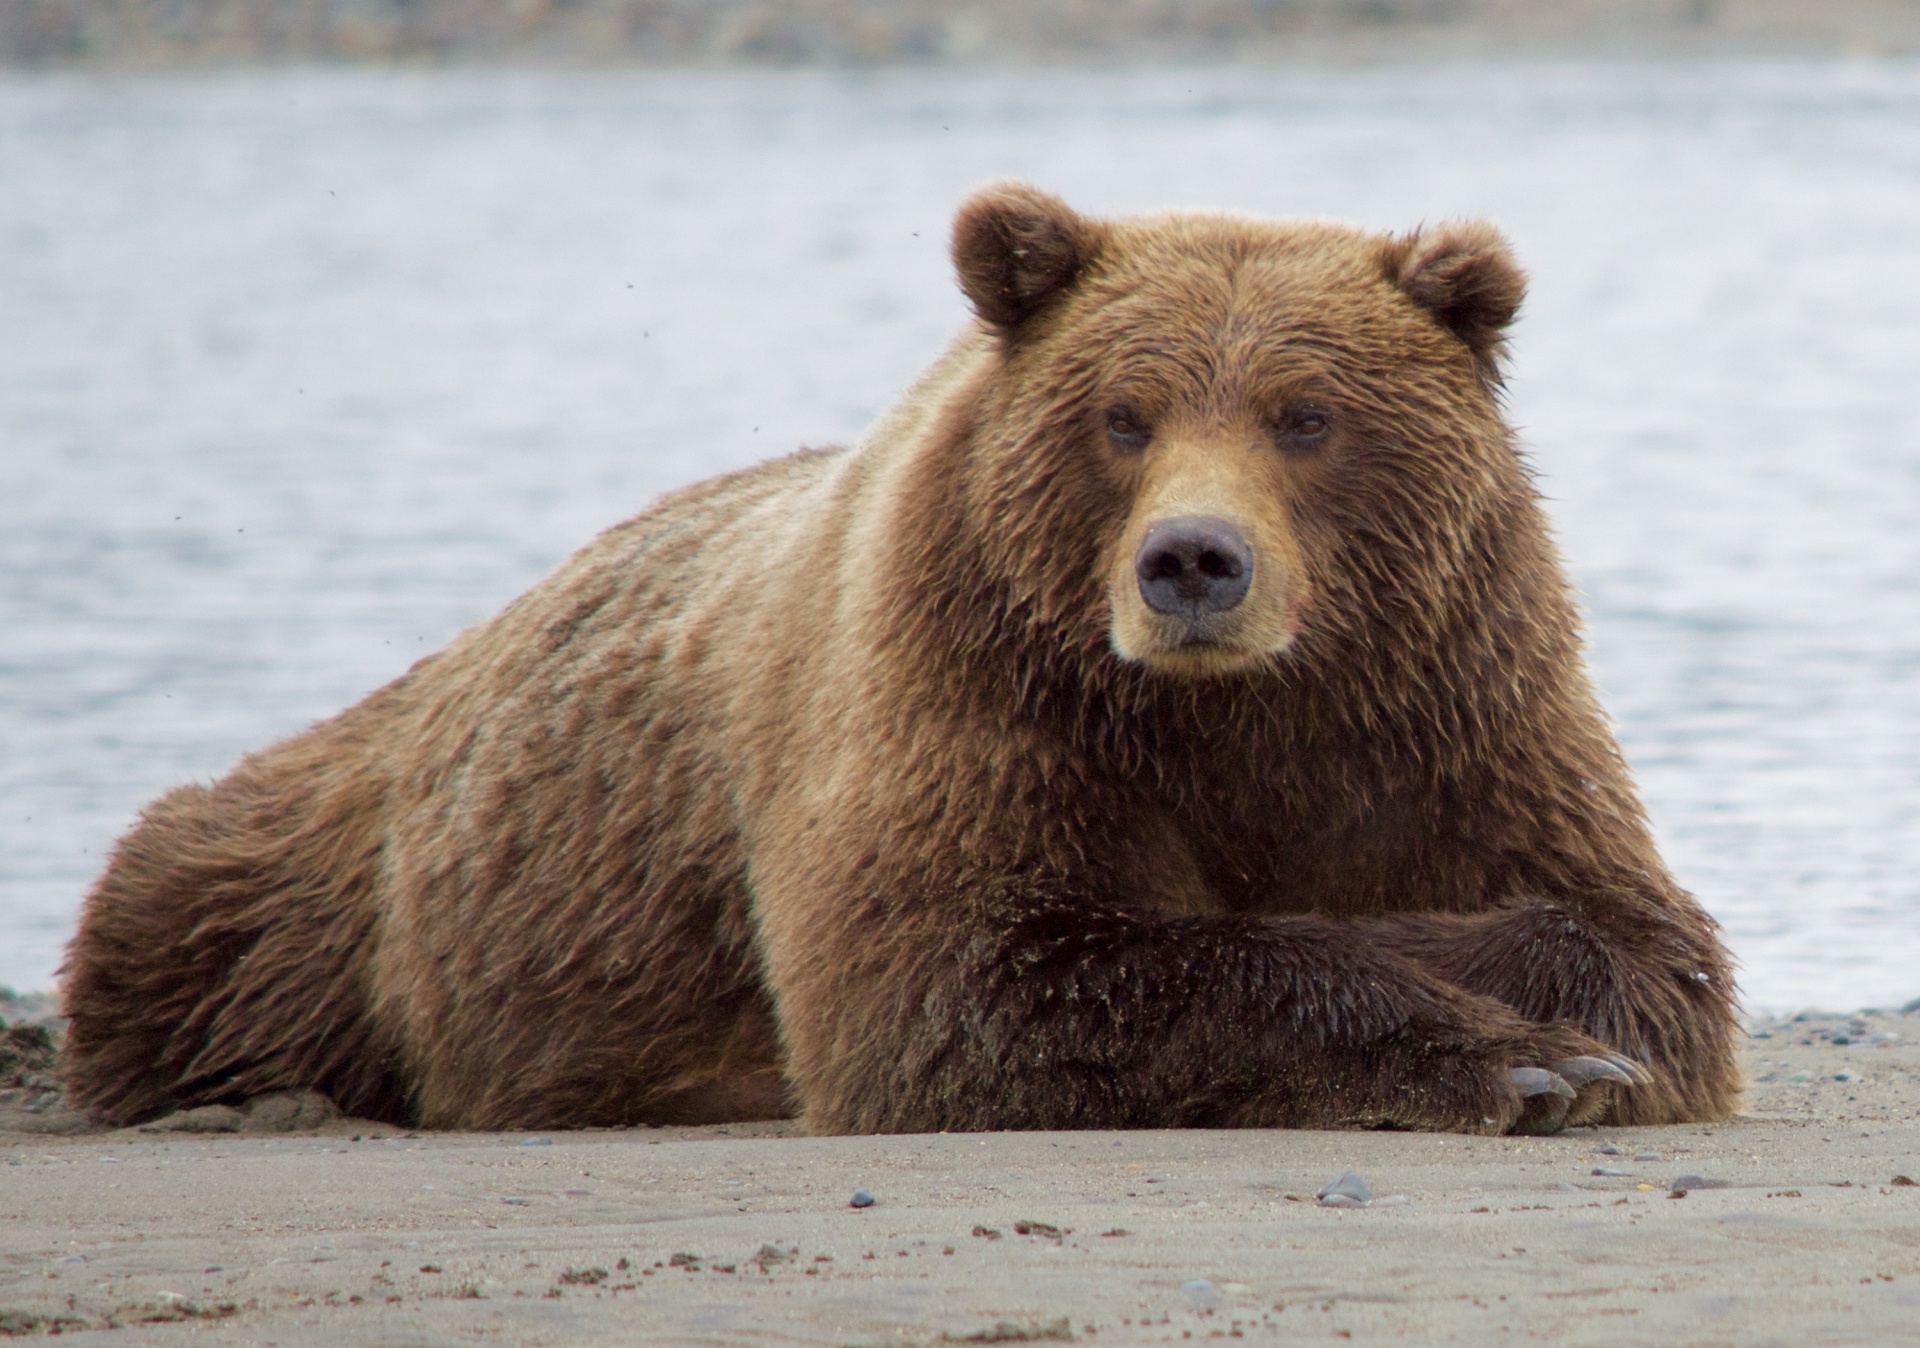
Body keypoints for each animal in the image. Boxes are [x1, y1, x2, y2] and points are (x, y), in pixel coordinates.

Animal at [61, 183, 1740, 1137]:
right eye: (1124, 413)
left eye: (1305, 415)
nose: (1193, 563)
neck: (1238, 713)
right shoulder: (974, 689)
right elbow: (964, 974)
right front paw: (1521, 1065)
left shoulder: (1453, 703)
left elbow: (1634, 937)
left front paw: (1551, 1027)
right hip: (326, 879)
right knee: (188, 916)